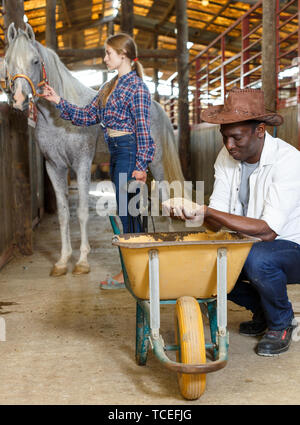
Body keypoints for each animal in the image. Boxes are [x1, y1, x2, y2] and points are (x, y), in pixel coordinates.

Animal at [3, 22, 184, 274]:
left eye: (35, 61)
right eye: (7, 60)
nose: (19, 100)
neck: (56, 119)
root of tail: (157, 107)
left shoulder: (81, 164)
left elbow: (81, 213)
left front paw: (81, 262)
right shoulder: (54, 167)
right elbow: (63, 214)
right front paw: (62, 261)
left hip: (156, 164)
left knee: (165, 198)